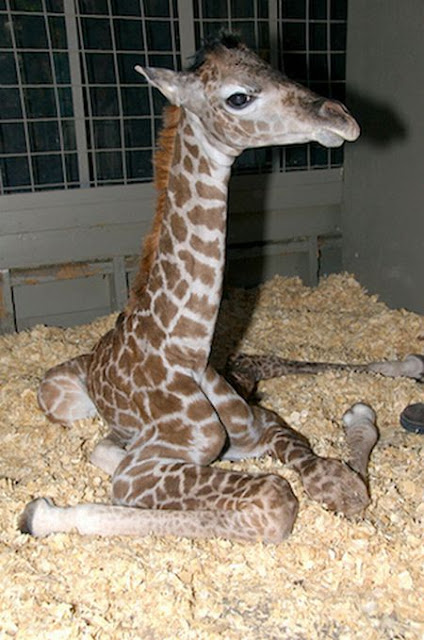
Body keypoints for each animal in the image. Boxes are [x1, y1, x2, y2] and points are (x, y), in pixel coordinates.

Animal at [19, 35, 378, 544]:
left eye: (276, 68)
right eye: (238, 97)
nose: (341, 118)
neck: (188, 348)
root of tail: (93, 350)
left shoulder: (262, 423)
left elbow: (329, 474)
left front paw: (348, 463)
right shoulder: (138, 471)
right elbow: (274, 499)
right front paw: (43, 513)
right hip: (63, 401)